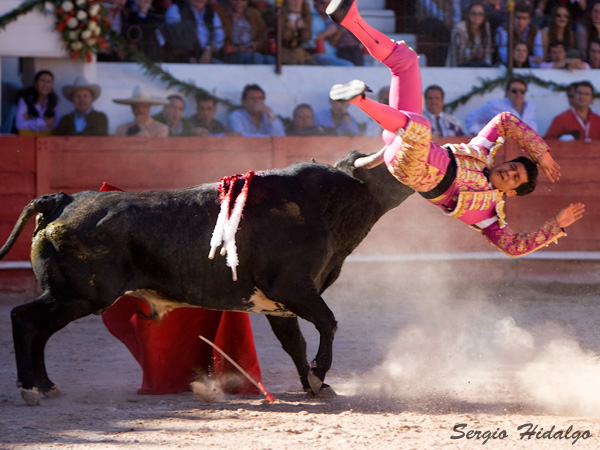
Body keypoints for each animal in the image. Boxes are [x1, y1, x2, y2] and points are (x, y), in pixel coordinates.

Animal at [0, 150, 412, 404]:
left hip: (70, 297)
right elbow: (328, 322)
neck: (325, 202)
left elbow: (294, 343)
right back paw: (31, 388)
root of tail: (63, 200)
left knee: (38, 330)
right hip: (77, 296)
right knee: (24, 320)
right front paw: (318, 376)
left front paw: (316, 385)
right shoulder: (294, 289)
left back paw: (47, 387)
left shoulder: (280, 305)